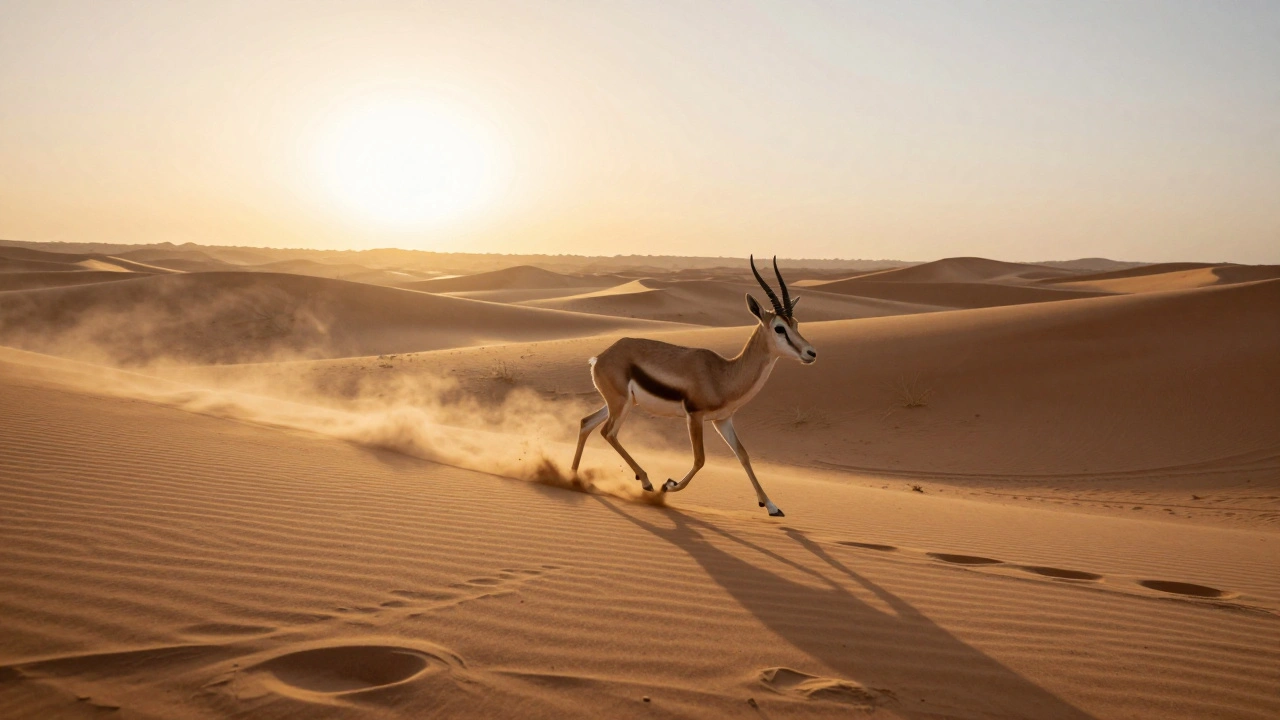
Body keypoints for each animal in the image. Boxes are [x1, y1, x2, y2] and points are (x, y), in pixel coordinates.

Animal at [570, 256, 817, 516]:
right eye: (779, 328)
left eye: (796, 323)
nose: (811, 353)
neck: (723, 375)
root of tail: (600, 357)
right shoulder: (695, 415)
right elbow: (700, 459)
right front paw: (668, 485)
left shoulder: (722, 420)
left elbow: (743, 455)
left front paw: (771, 506)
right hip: (621, 405)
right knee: (608, 432)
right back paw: (646, 482)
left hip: (619, 403)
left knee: (586, 423)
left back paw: (573, 477)